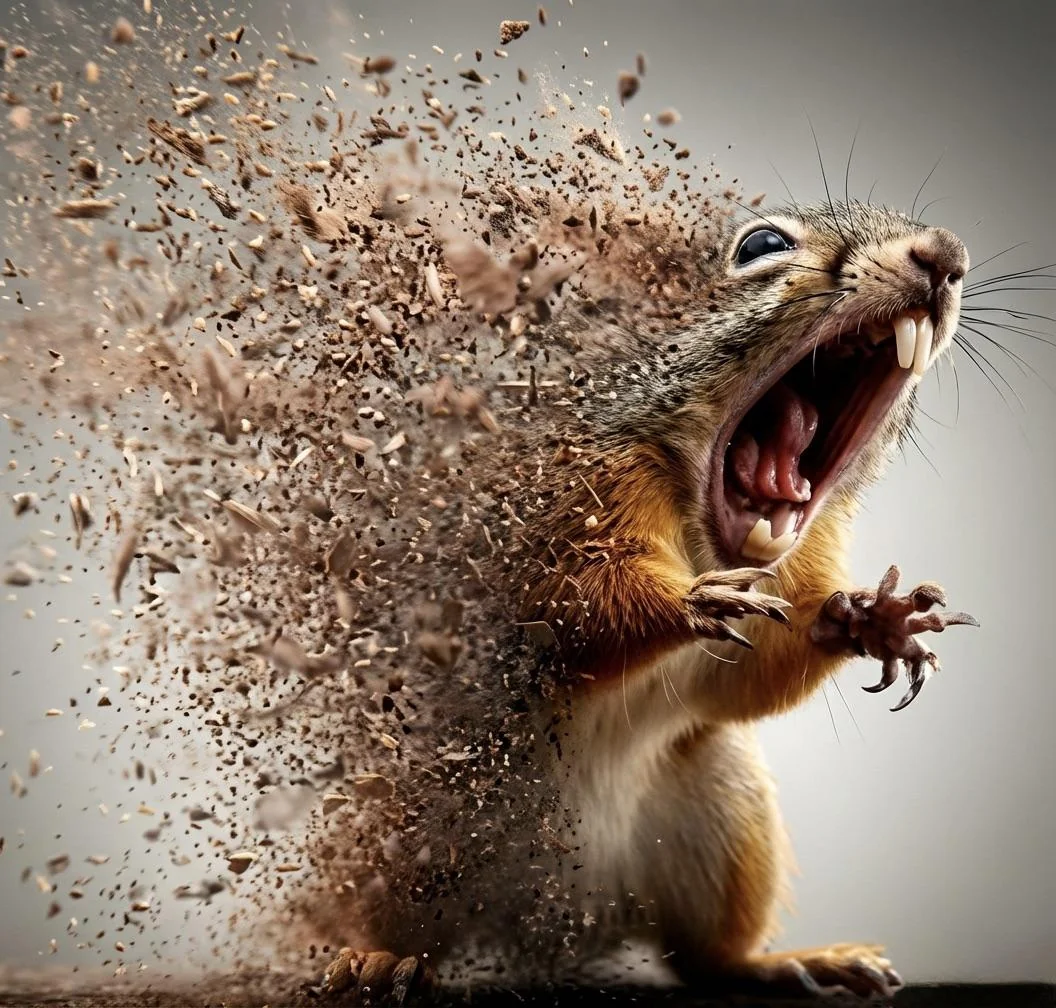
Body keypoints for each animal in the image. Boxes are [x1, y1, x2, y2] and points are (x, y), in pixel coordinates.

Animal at [314, 200, 979, 1005]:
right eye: (761, 244)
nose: (943, 255)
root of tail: (546, 914)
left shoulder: (801, 558)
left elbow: (748, 680)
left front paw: (869, 619)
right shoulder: (570, 499)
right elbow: (574, 606)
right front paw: (691, 600)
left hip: (725, 821)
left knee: (703, 957)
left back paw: (797, 962)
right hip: (401, 833)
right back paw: (375, 958)